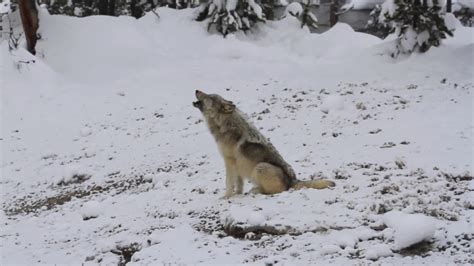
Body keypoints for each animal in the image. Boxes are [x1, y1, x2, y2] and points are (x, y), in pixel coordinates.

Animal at [193, 90, 336, 196]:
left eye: (209, 97)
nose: (196, 90)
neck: (224, 125)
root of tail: (293, 181)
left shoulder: (229, 161)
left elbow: (228, 182)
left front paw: (226, 197)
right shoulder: (237, 163)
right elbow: (239, 183)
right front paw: (237, 194)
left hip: (260, 167)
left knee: (275, 191)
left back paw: (256, 190)